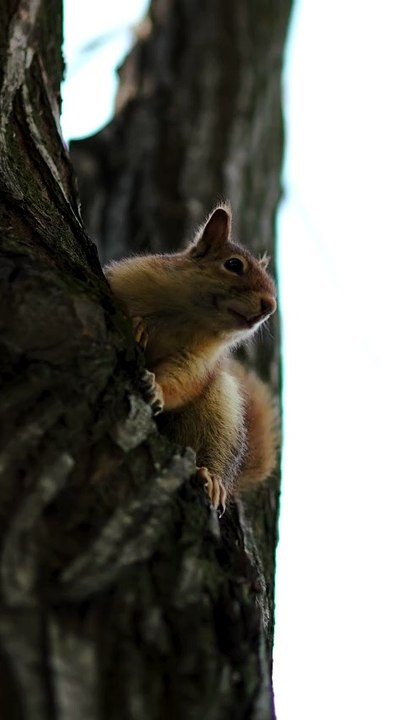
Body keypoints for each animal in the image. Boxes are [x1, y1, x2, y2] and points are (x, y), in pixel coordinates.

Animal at [105, 203, 278, 515]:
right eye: (233, 265)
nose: (269, 306)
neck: (189, 317)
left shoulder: (199, 362)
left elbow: (183, 383)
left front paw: (157, 388)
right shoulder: (126, 279)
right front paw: (138, 324)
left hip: (221, 411)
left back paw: (212, 477)